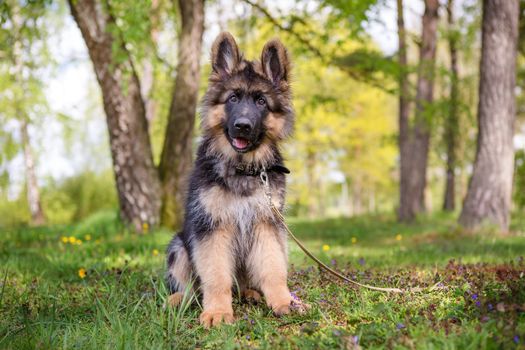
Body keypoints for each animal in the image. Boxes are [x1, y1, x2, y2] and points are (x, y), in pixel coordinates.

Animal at [166, 31, 300, 326]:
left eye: (261, 101)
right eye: (233, 99)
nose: (242, 126)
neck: (243, 169)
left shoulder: (266, 224)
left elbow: (273, 267)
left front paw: (283, 301)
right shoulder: (212, 227)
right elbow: (216, 276)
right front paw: (217, 312)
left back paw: (251, 293)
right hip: (179, 245)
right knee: (190, 286)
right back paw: (178, 299)